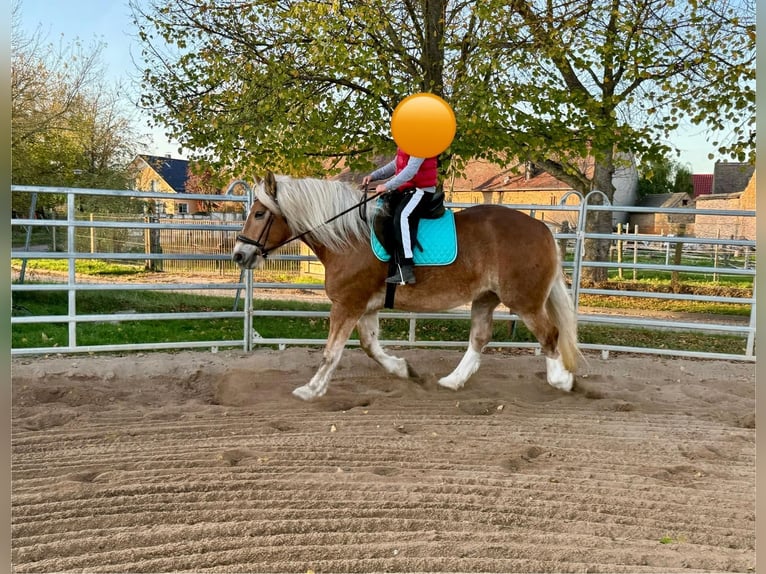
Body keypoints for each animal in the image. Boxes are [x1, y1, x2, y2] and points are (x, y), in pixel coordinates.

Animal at [234, 172, 584, 400]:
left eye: (260, 213)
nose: (239, 254)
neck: (349, 237)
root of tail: (543, 228)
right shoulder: (364, 307)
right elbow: (369, 346)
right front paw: (402, 369)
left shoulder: (347, 304)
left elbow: (331, 352)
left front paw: (311, 389)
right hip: (486, 297)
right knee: (480, 338)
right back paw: (452, 382)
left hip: (524, 301)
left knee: (549, 335)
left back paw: (561, 380)